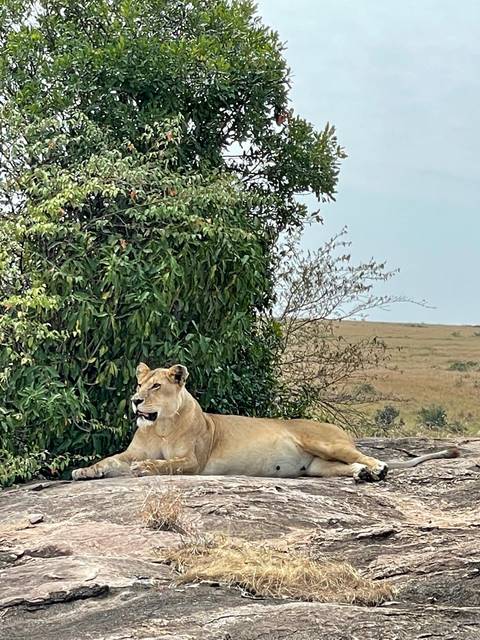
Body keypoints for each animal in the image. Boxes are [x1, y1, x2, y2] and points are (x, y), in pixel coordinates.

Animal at [72, 363, 459, 482]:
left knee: (362, 455)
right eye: (139, 384)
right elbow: (109, 461)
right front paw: (84, 471)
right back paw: (362, 475)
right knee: (344, 466)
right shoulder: (129, 453)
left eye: (156, 386)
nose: (135, 401)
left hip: (322, 442)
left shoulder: (194, 461)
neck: (161, 425)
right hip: (316, 466)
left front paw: (147, 469)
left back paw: (377, 467)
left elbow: (167, 464)